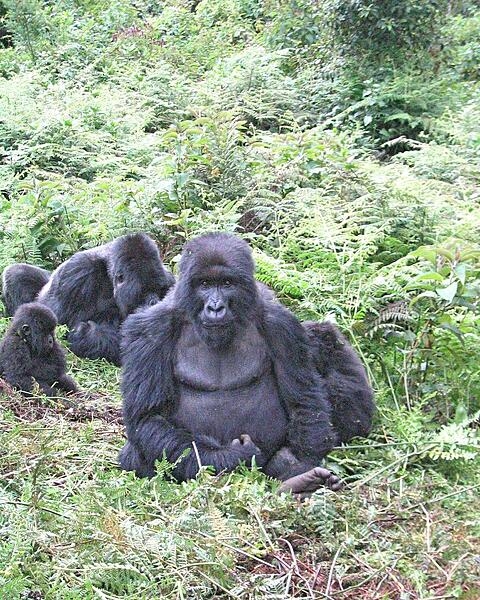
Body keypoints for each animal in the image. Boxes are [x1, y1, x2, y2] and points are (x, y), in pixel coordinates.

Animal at [2, 233, 175, 366]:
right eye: (144, 291)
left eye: (159, 290)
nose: (153, 302)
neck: (109, 274)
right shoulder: (77, 273)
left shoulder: (170, 280)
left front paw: (87, 335)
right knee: (16, 274)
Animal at [119, 232, 348, 494]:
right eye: (205, 284)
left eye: (227, 283)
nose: (215, 307)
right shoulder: (150, 330)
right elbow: (148, 416)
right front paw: (233, 456)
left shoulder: (282, 326)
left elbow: (303, 402)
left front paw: (296, 467)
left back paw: (299, 481)